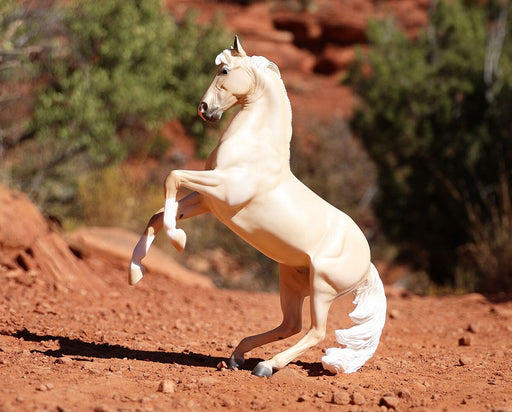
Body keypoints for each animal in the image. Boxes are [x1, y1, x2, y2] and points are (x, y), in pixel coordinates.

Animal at [130, 37, 386, 378]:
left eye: (224, 70)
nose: (204, 109)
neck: (254, 148)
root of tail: (367, 265)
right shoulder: (208, 201)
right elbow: (157, 215)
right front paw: (135, 273)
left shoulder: (222, 191)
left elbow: (172, 178)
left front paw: (179, 240)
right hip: (292, 280)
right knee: (291, 324)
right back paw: (238, 357)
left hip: (322, 288)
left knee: (315, 331)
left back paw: (266, 366)